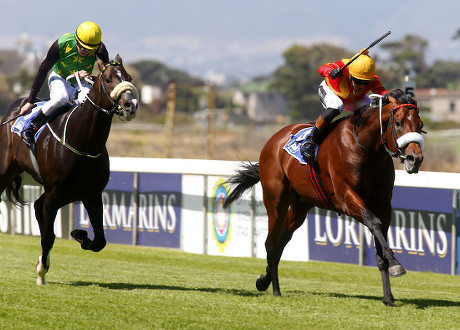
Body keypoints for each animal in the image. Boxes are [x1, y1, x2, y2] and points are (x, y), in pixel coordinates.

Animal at [0, 53, 138, 284]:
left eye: (128, 77)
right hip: (7, 170)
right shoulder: (55, 194)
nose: (130, 105)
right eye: (108, 79)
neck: (82, 142)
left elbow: (99, 241)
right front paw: (41, 272)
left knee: (37, 205)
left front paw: (79, 235)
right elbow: (48, 236)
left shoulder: (91, 195)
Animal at [224, 89, 424, 306]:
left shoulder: (383, 204)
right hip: (276, 201)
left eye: (420, 125)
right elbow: (374, 222)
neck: (367, 149)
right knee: (272, 242)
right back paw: (275, 289)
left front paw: (388, 297)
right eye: (398, 122)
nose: (415, 159)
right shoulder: (346, 198)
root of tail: (274, 139)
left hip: (300, 206)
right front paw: (396, 265)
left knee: (283, 238)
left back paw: (264, 281)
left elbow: (380, 242)